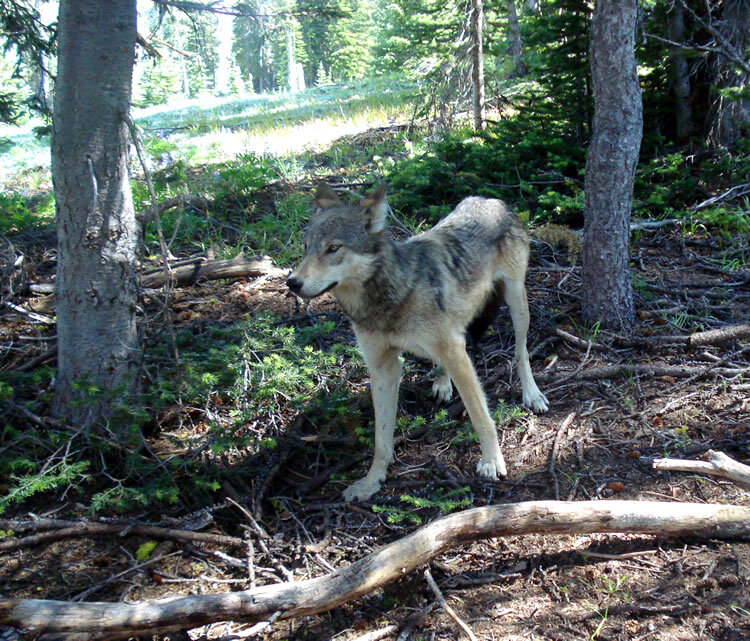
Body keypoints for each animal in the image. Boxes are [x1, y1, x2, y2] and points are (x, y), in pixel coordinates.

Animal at [284, 182, 548, 502]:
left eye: (334, 248)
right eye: (306, 246)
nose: (292, 282)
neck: (390, 297)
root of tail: (490, 199)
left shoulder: (454, 352)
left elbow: (480, 417)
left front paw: (491, 461)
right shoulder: (383, 366)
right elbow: (381, 438)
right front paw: (371, 482)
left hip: (517, 302)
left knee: (521, 352)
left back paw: (532, 394)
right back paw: (442, 384)